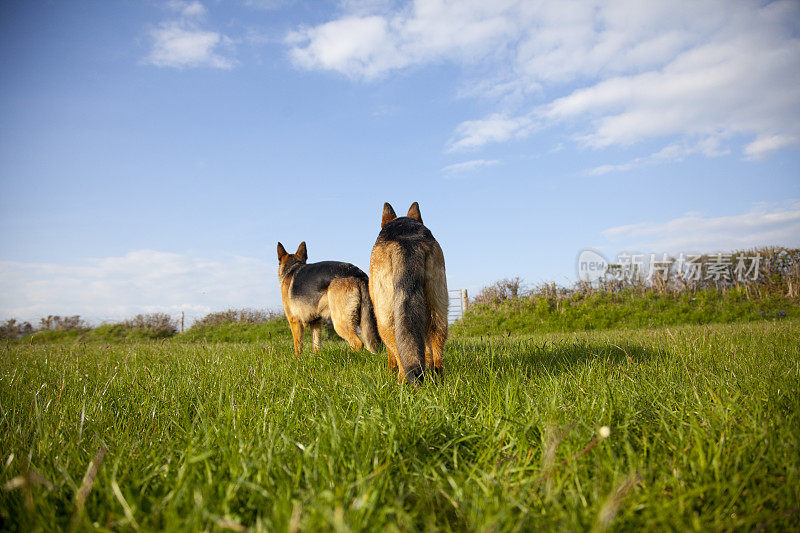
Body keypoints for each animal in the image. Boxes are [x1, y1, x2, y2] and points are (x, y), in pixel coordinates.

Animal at [370, 201, 450, 382]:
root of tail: (407, 242)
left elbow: (391, 354)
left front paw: (390, 369)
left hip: (385, 319)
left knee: (398, 351)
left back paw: (402, 379)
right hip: (438, 307)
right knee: (436, 343)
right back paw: (436, 375)